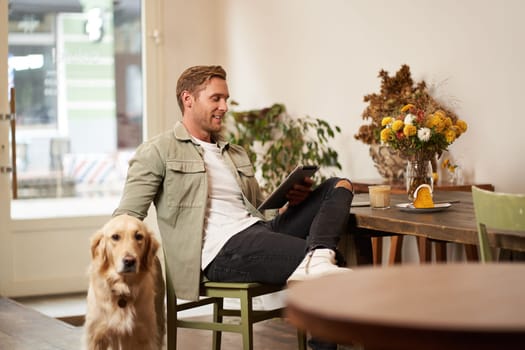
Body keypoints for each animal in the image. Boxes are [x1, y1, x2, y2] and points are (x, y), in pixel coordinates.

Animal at [83, 215, 164, 348]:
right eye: (115, 237)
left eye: (139, 236)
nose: (129, 261)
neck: (122, 287)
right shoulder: (96, 335)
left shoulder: (144, 334)